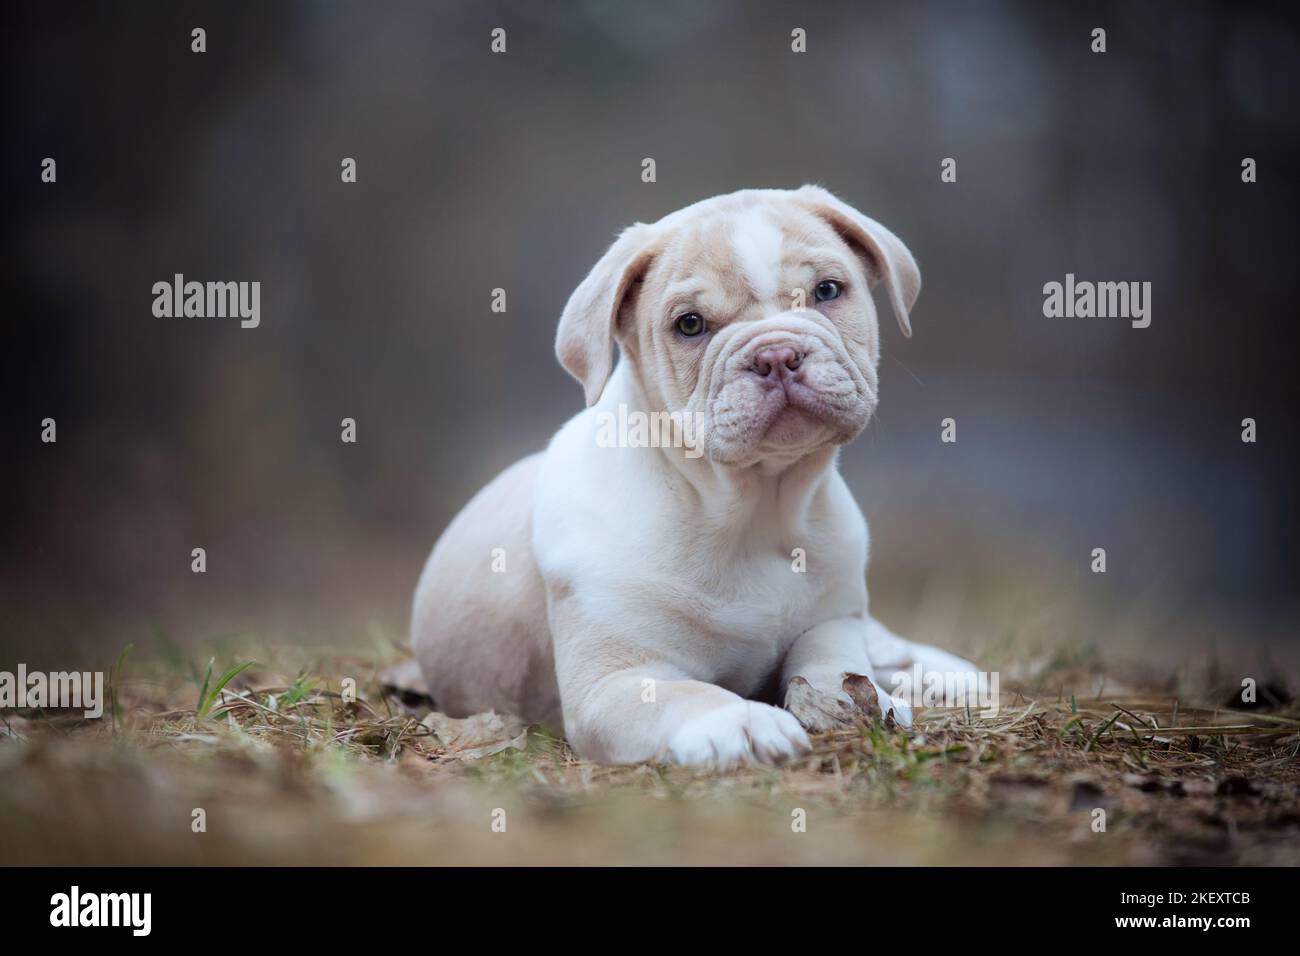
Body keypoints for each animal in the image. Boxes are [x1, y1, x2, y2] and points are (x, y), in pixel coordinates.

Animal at [413, 184, 977, 770]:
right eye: (689, 324)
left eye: (827, 291)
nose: (777, 353)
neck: (754, 508)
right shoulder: (615, 682)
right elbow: (687, 695)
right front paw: (745, 721)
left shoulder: (833, 617)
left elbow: (835, 658)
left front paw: (854, 698)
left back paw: (939, 670)